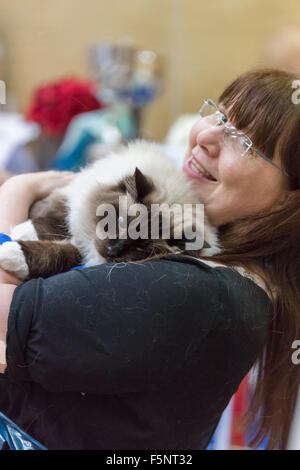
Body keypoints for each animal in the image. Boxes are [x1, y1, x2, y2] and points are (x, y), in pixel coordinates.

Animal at [0, 140, 220, 280]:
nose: (112, 250)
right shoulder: (71, 195)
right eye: (120, 222)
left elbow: (58, 254)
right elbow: (56, 217)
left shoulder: (87, 254)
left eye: (140, 248)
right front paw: (23, 230)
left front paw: (11, 253)